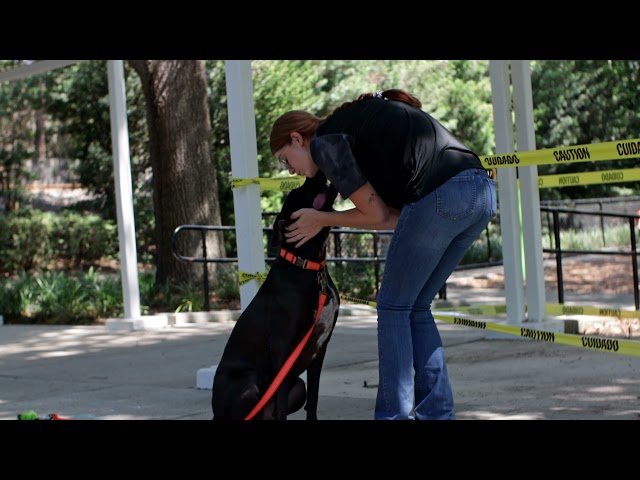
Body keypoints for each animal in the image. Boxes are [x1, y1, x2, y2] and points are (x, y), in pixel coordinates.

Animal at [211, 172, 342, 420]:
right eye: (298, 191)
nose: (317, 173)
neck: (309, 266)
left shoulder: (320, 348)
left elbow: (314, 398)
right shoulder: (282, 345)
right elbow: (280, 401)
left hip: (298, 387)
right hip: (248, 381)